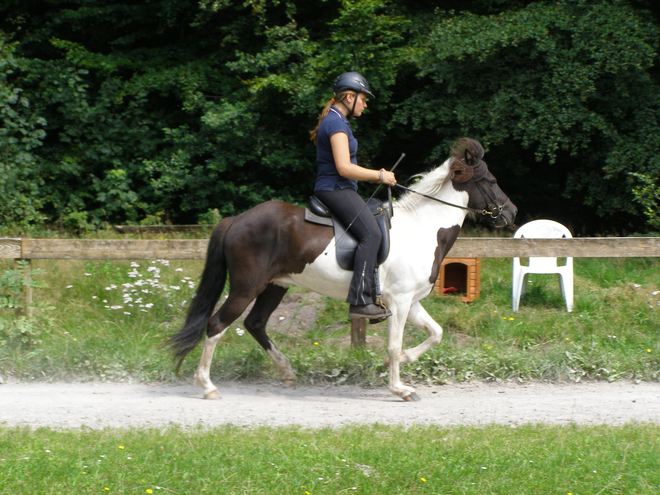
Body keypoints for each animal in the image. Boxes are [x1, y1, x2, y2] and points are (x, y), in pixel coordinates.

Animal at [169, 138, 516, 402]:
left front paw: (399, 363)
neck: (423, 227)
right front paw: (400, 388)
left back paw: (286, 371)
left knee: (255, 324)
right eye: (492, 181)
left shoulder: (411, 302)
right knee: (216, 325)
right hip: (246, 287)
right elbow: (395, 344)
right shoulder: (401, 301)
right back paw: (208, 386)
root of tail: (236, 220)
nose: (511, 213)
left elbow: (435, 333)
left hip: (275, 285)